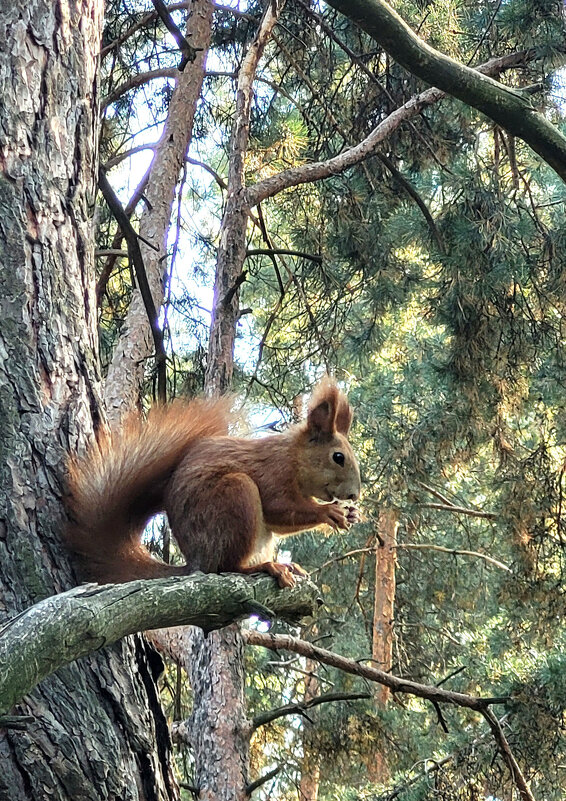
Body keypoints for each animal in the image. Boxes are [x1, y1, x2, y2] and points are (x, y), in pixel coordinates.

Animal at [65, 376, 360, 588]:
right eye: (338, 457)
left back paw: (287, 566)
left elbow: (280, 522)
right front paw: (328, 511)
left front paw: (352, 514)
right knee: (226, 567)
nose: (355, 495)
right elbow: (280, 507)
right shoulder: (273, 472)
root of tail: (197, 562)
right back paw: (265, 566)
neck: (294, 457)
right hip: (235, 496)